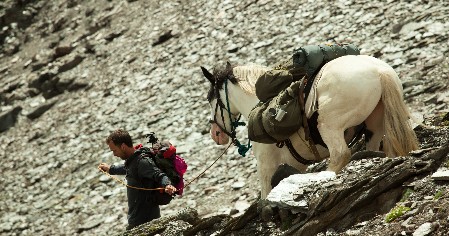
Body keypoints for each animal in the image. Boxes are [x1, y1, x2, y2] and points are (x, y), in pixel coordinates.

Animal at [201, 54, 418, 197]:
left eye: (210, 98)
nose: (216, 134)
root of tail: (381, 72)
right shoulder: (295, 164)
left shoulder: (266, 165)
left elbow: (265, 195)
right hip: (376, 126)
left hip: (329, 125)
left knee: (340, 154)